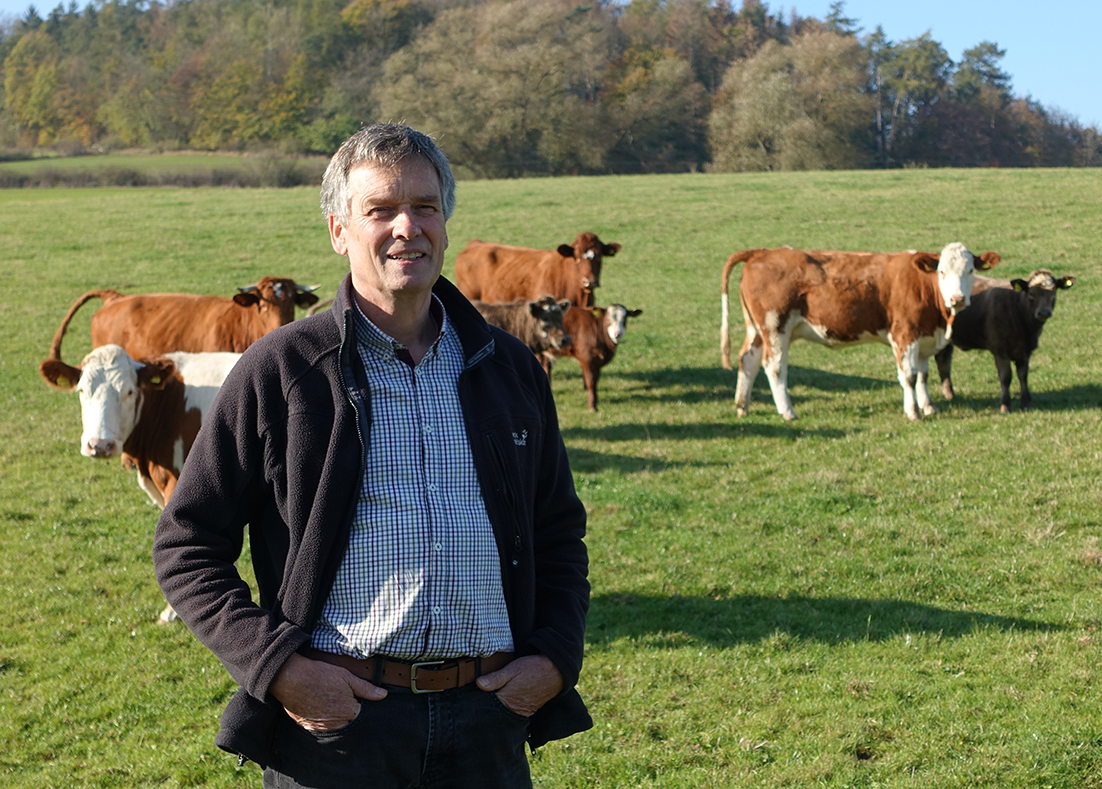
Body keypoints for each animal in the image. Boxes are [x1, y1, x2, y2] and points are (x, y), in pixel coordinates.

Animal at [718, 243, 1005, 423]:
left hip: (756, 329)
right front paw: (913, 412)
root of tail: (762, 253)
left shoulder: (923, 338)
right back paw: (787, 411)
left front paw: (928, 406)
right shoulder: (904, 335)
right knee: (774, 366)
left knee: (748, 361)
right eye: (941, 271)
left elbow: (923, 376)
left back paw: (742, 406)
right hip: (775, 327)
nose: (957, 299)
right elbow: (909, 376)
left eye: (970, 270)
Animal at [930, 269, 1075, 409]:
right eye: (1031, 293)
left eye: (1053, 291)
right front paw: (1005, 405)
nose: (1044, 312)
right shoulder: (1000, 350)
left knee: (943, 361)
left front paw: (1027, 402)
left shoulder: (1025, 350)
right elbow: (1006, 377)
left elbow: (1023, 375)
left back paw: (950, 395)